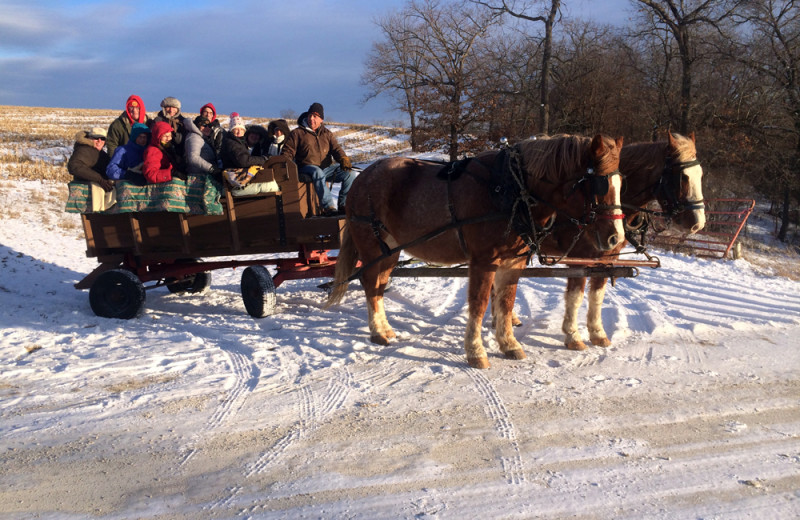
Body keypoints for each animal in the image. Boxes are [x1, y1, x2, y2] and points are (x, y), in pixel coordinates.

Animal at [324, 134, 624, 370]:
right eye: (599, 184)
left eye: (621, 182)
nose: (616, 238)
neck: (510, 190)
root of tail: (362, 178)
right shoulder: (484, 261)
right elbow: (479, 304)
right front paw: (476, 351)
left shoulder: (512, 262)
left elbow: (505, 302)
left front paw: (509, 344)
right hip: (372, 246)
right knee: (369, 283)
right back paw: (377, 332)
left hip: (389, 251)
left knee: (378, 285)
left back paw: (385, 328)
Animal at [548, 131, 704, 350]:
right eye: (682, 177)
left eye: (701, 174)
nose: (698, 223)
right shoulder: (578, 258)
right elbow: (575, 297)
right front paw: (572, 336)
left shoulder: (606, 258)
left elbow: (597, 295)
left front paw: (597, 333)